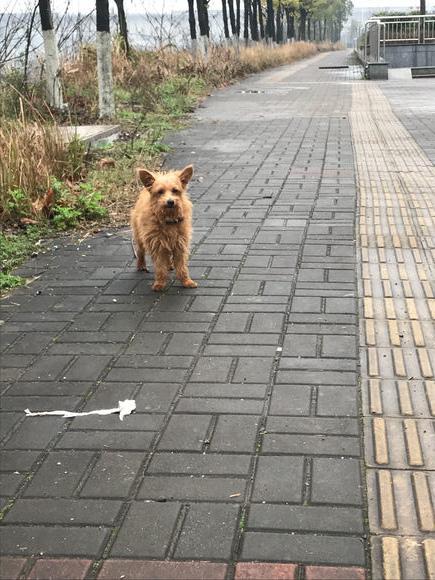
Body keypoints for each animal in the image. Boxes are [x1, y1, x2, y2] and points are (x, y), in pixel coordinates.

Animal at [129, 164, 198, 292]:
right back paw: (141, 265)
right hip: (140, 236)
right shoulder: (157, 246)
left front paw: (186, 281)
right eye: (160, 192)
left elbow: (182, 266)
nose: (170, 202)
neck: (168, 218)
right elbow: (160, 267)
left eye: (175, 190)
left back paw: (170, 265)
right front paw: (160, 283)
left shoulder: (180, 244)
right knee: (140, 251)